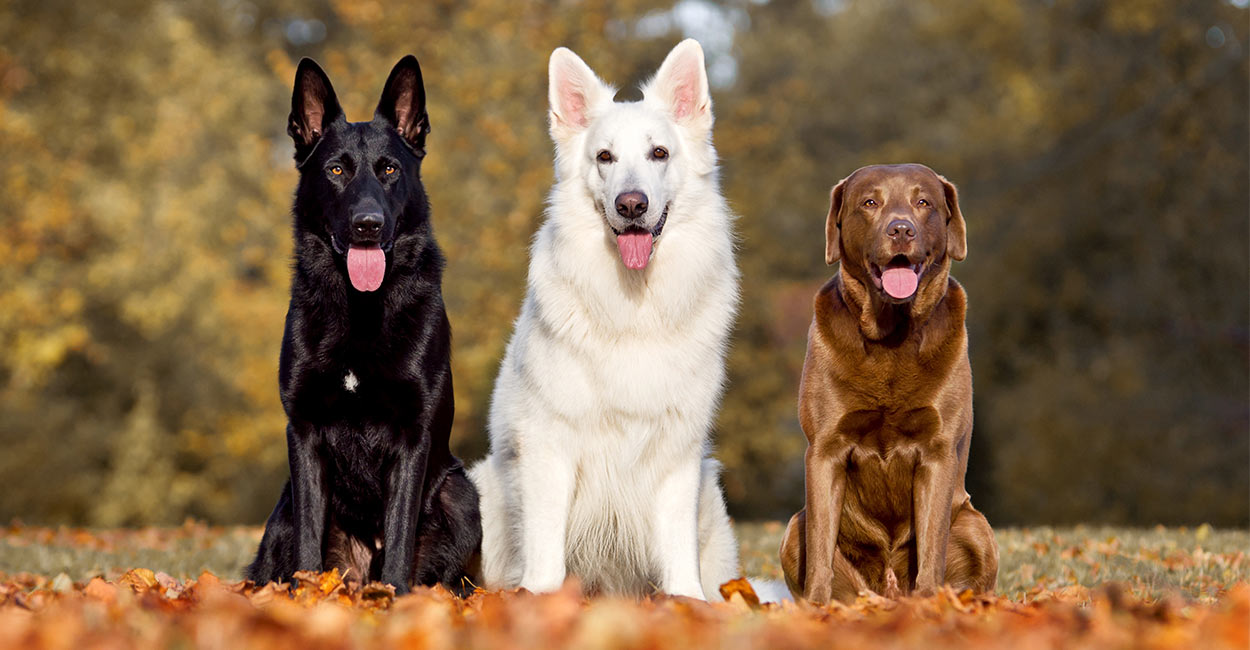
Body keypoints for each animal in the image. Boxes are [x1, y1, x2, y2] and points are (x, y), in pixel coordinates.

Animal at [246, 55, 480, 595]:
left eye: (389, 169)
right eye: (336, 170)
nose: (367, 225)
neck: (360, 307)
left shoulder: (413, 436)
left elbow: (398, 534)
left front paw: (393, 599)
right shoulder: (304, 432)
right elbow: (309, 540)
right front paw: (303, 598)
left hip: (462, 496)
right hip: (281, 511)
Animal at [470, 39, 740, 600]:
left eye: (659, 153)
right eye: (604, 157)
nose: (631, 204)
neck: (632, 304)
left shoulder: (679, 452)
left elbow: (678, 554)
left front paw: (688, 604)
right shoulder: (549, 445)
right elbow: (546, 553)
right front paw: (538, 601)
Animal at [780, 163, 995, 605]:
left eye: (923, 202)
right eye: (870, 202)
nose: (901, 230)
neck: (892, 337)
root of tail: (888, 590)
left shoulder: (937, 450)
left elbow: (931, 545)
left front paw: (931, 603)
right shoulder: (825, 449)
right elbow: (821, 549)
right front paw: (817, 606)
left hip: (977, 525)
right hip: (794, 528)